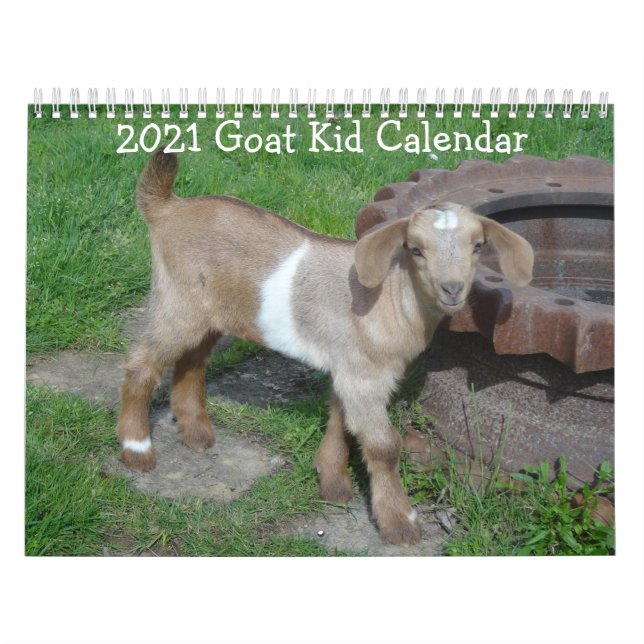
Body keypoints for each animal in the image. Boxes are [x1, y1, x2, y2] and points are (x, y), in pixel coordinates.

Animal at [117, 151, 533, 546]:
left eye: (477, 246)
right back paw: (137, 450)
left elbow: (339, 419)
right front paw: (400, 524)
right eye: (415, 250)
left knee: (192, 359)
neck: (392, 299)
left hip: (208, 313)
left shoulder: (347, 365)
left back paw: (196, 434)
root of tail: (166, 207)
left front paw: (332, 482)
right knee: (141, 362)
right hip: (178, 301)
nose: (452, 289)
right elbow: (384, 445)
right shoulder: (364, 375)